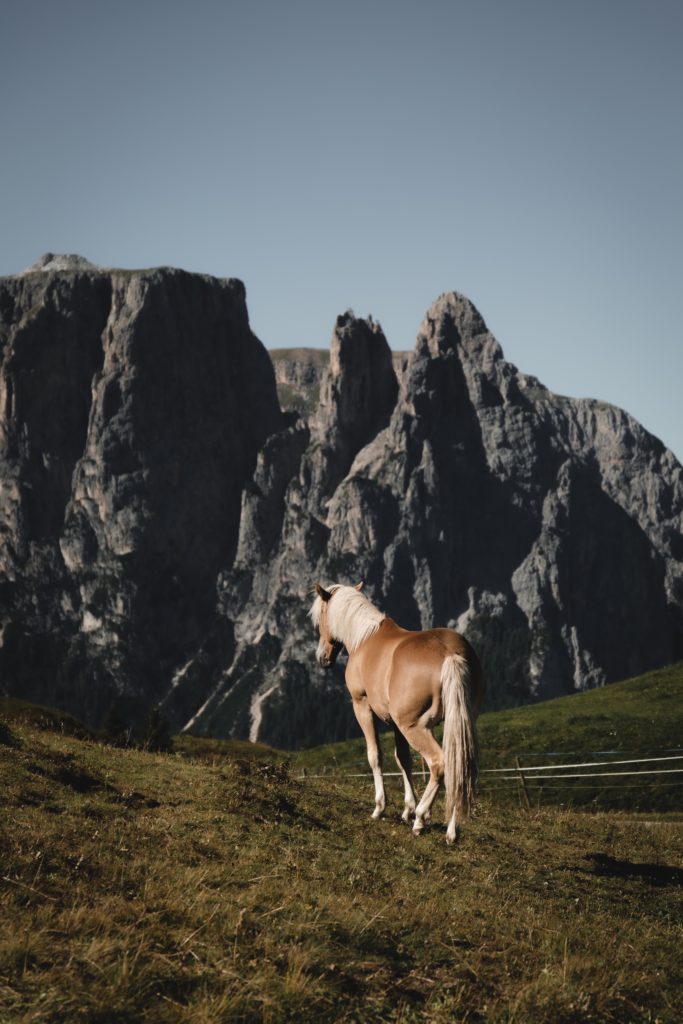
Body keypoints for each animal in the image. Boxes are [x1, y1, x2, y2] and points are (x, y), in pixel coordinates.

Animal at [313, 581, 483, 843]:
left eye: (320, 616)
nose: (322, 658)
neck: (364, 639)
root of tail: (450, 654)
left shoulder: (362, 706)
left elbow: (375, 756)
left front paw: (380, 808)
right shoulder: (394, 723)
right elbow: (403, 759)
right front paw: (407, 809)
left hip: (414, 727)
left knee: (439, 763)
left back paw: (421, 820)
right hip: (456, 723)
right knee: (458, 765)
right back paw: (451, 831)